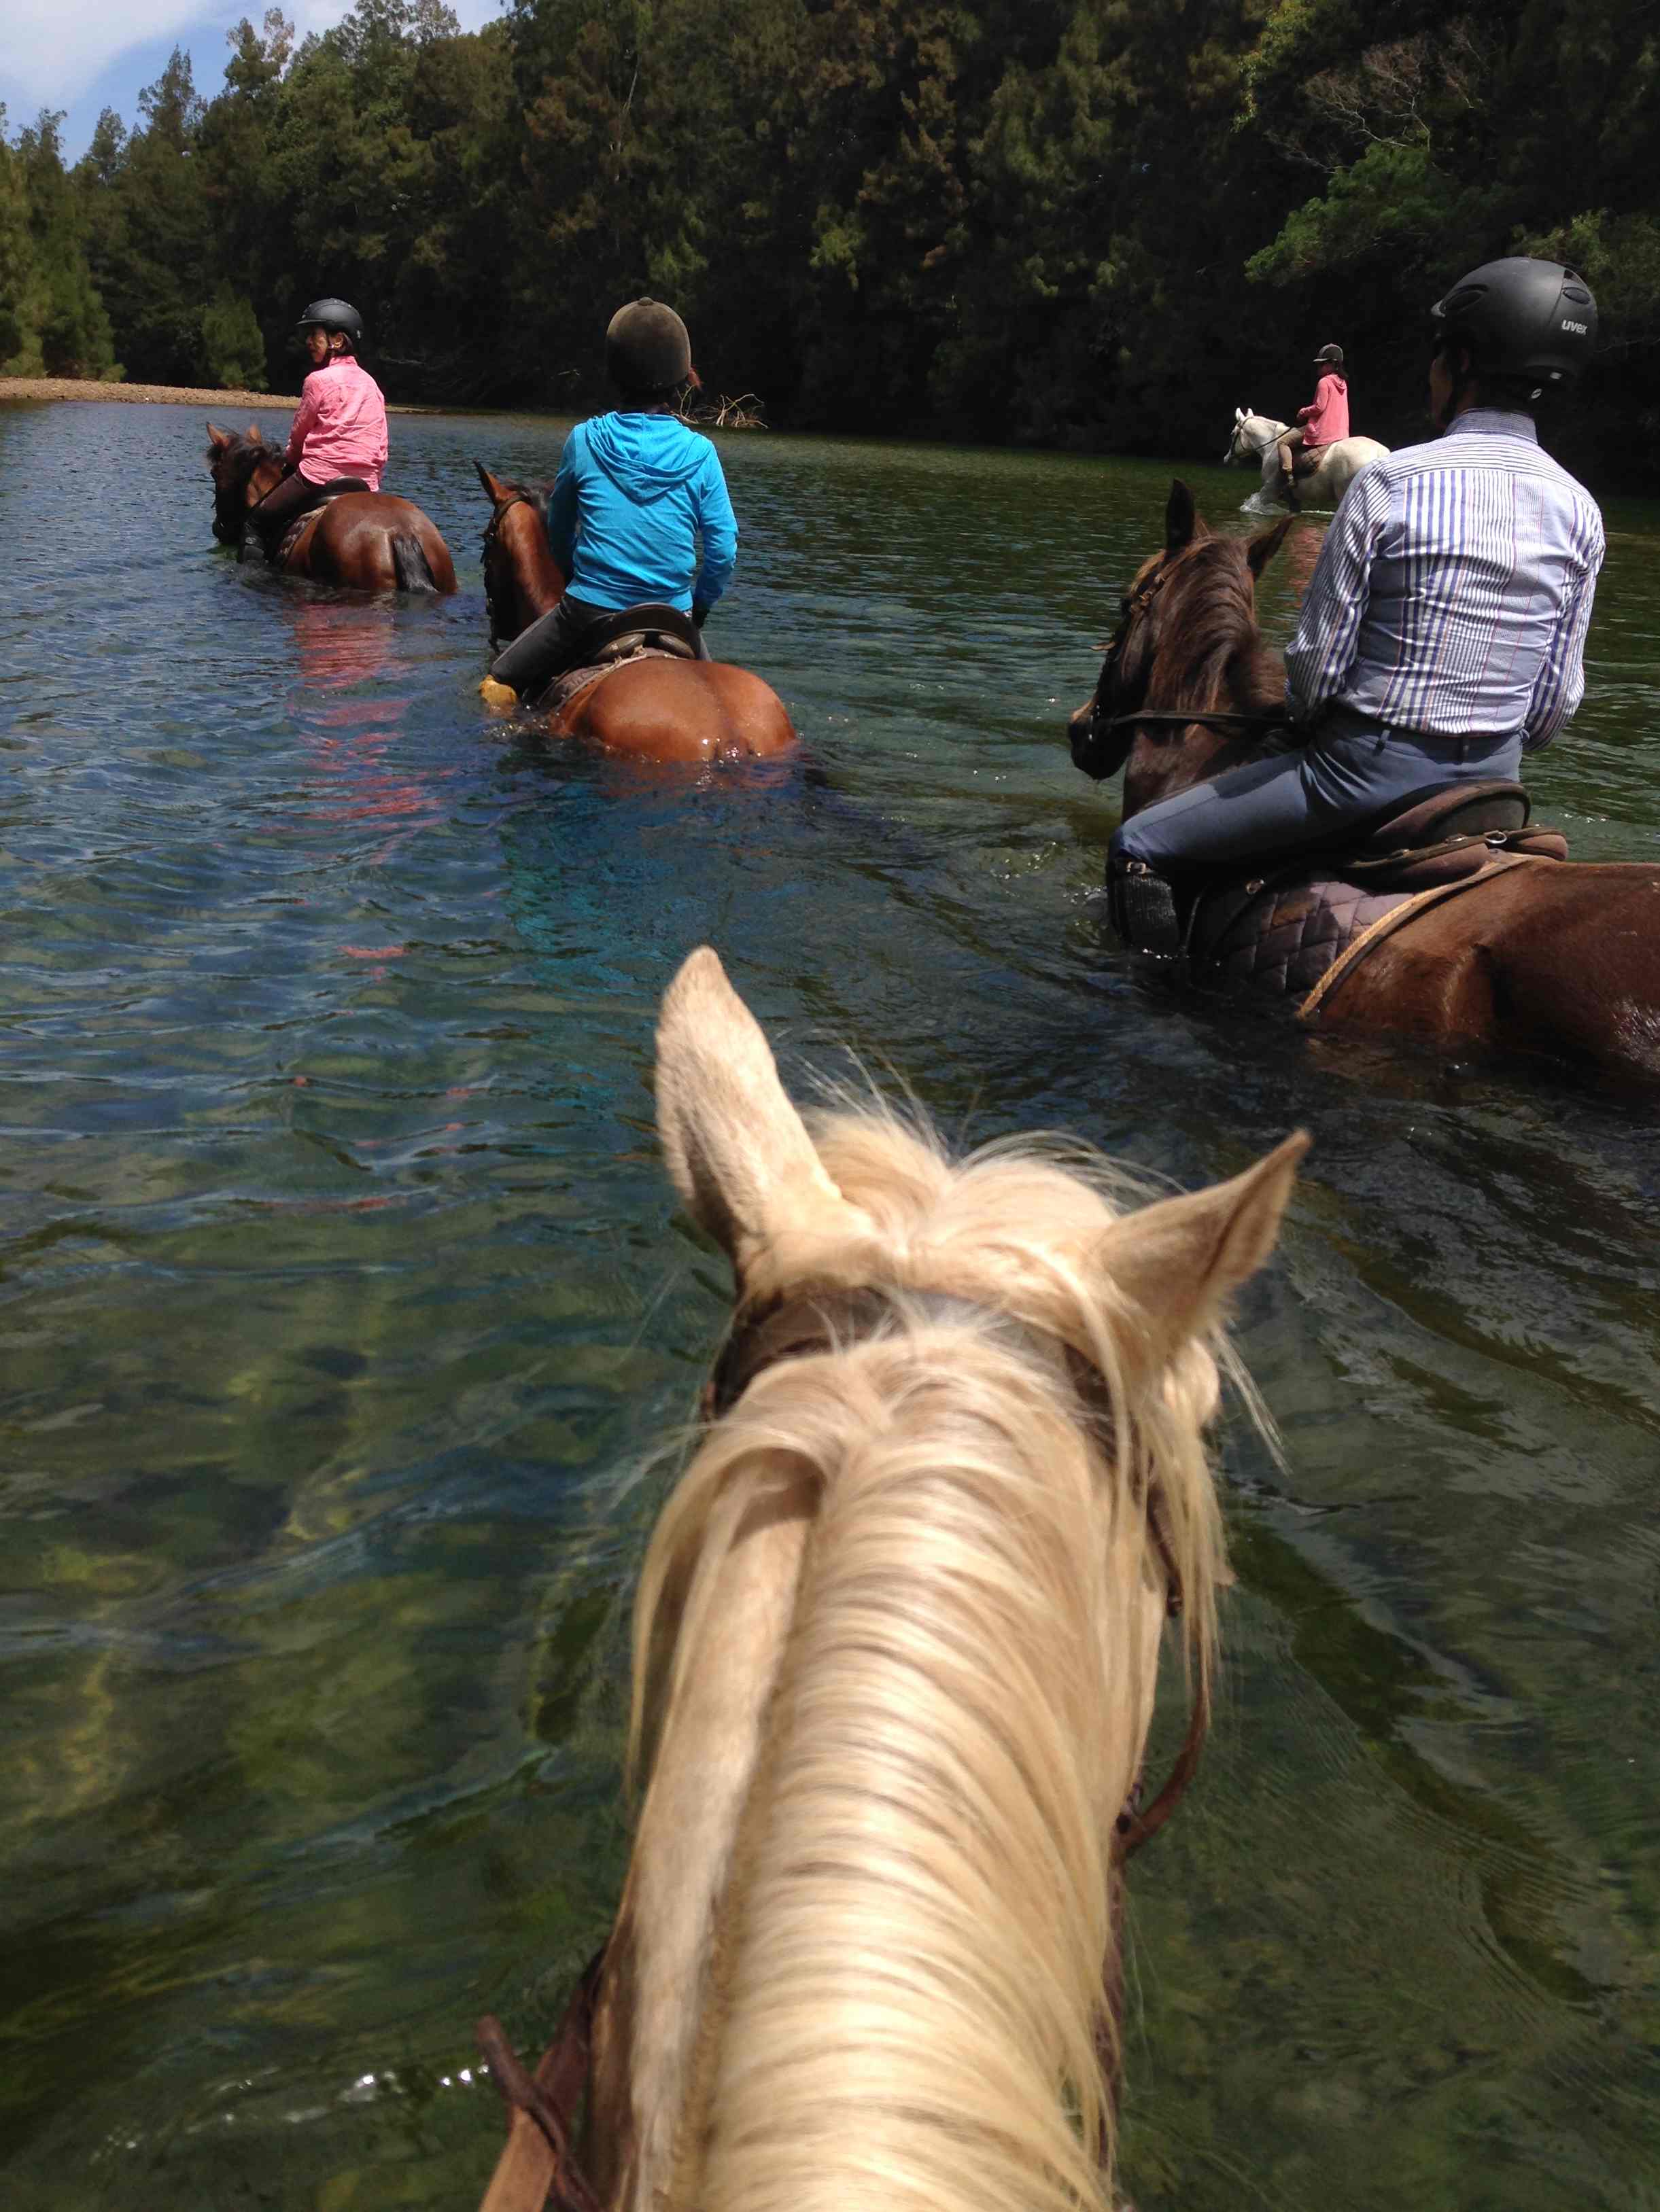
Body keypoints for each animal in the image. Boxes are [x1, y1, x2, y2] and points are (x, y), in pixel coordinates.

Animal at [1222, 402, 1389, 513]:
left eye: (1232, 434)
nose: (1226, 458)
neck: (1271, 445)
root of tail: (1379, 452)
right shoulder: (1293, 499)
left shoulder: (1269, 491)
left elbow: (1251, 505)